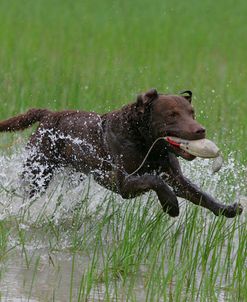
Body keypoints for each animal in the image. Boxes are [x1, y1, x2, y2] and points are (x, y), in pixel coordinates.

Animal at [0, 88, 243, 218]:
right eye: (172, 114)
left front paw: (227, 208)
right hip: (37, 172)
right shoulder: (123, 183)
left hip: (74, 174)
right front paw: (170, 205)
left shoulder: (174, 176)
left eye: (192, 112)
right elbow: (154, 180)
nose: (200, 129)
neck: (145, 142)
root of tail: (49, 115)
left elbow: (199, 194)